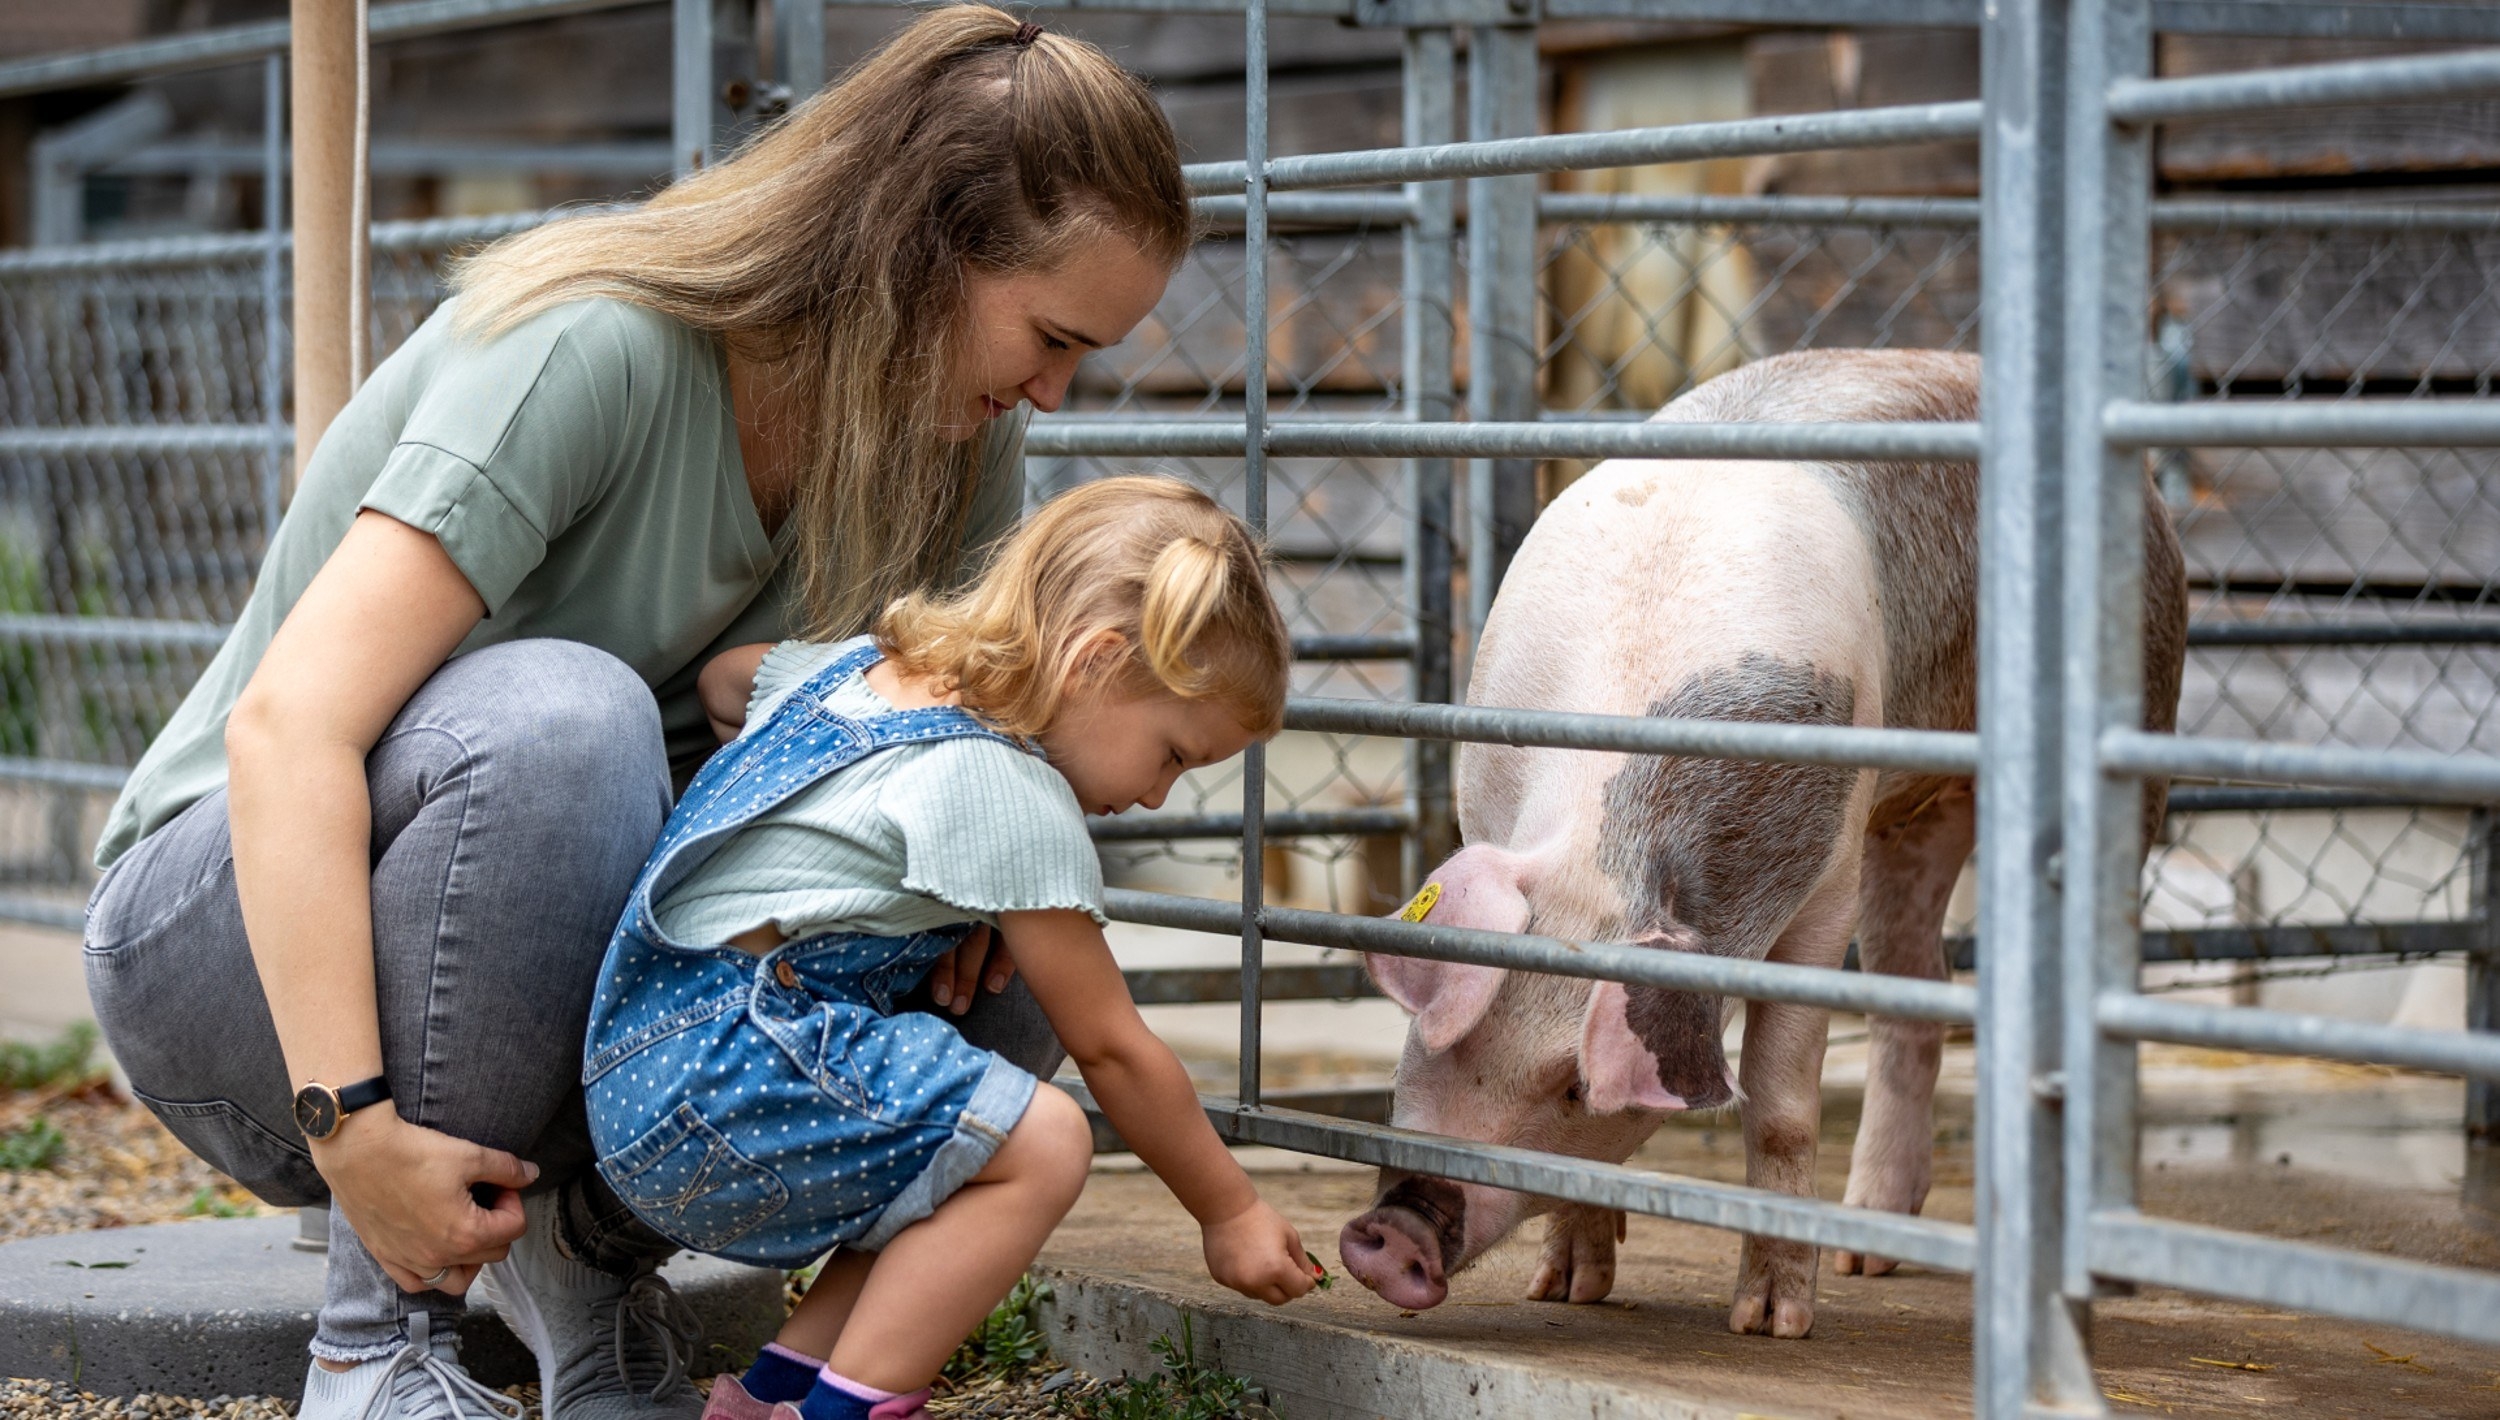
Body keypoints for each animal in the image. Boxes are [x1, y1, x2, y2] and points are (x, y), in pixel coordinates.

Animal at [1340, 350, 2180, 1340]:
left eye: (1572, 1088)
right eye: (1434, 1035)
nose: (1395, 1234)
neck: (1600, 849)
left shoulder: (1824, 884)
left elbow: (1780, 1101)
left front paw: (1769, 1322)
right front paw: (1567, 1289)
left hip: (2140, 716)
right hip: (1904, 820)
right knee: (1915, 990)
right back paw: (1868, 1252)